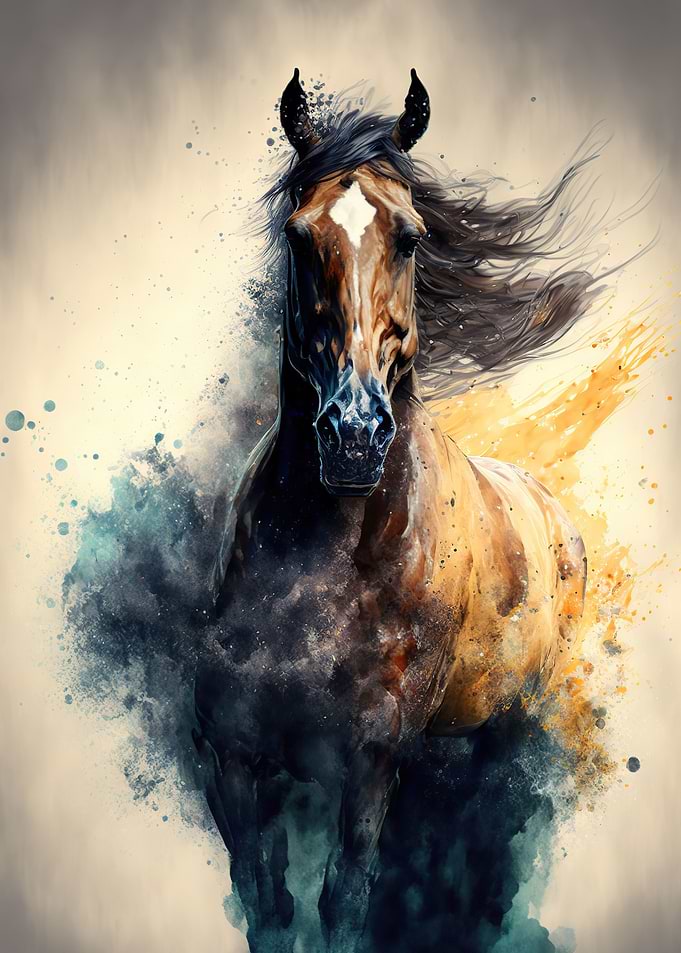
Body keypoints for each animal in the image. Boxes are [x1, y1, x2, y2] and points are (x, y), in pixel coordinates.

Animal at [193, 69, 593, 953]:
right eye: (298, 236)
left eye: (409, 237)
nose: (351, 434)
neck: (318, 573)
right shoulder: (232, 756)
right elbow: (266, 898)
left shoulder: (371, 758)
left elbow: (345, 898)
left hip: (512, 728)